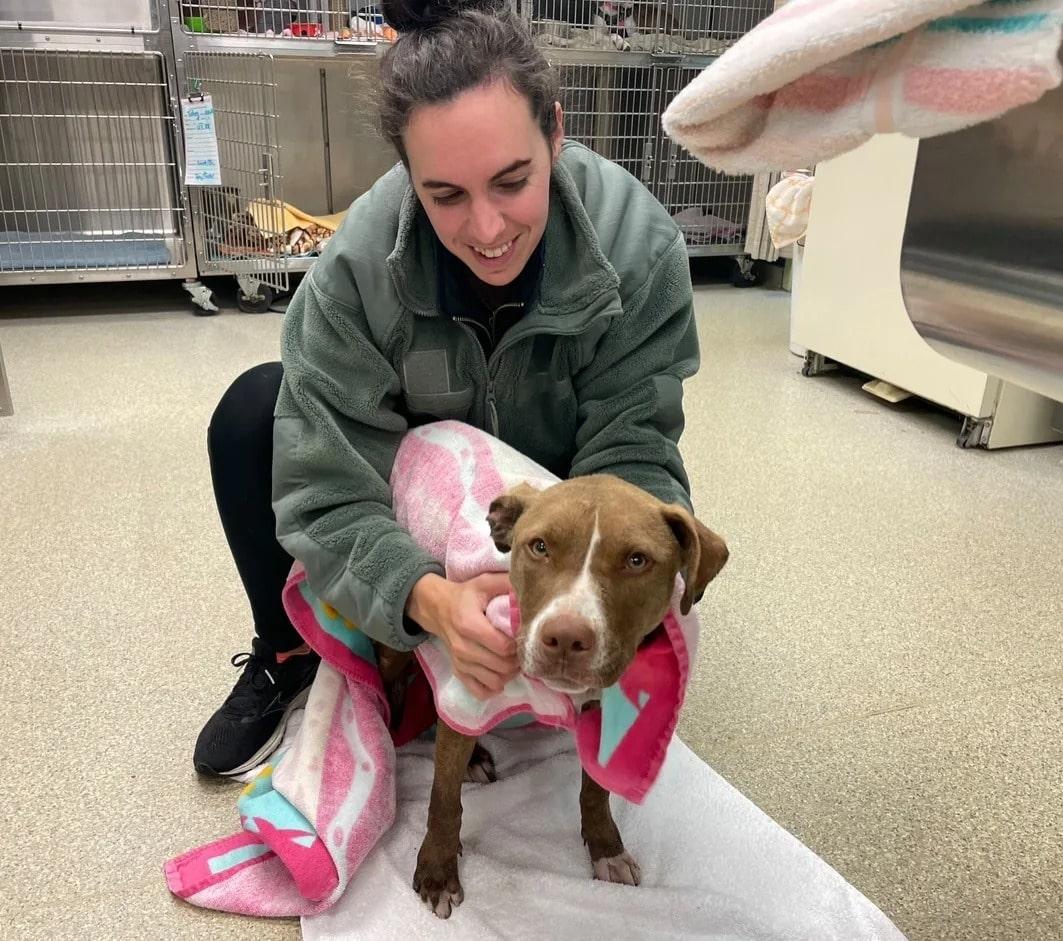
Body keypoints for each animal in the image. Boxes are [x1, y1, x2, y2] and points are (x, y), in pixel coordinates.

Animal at [408, 474, 731, 914]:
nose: (565, 637)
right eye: (540, 546)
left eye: (637, 560)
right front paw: (438, 871)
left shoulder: (602, 714)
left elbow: (595, 792)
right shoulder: (469, 686)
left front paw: (606, 847)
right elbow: (443, 797)